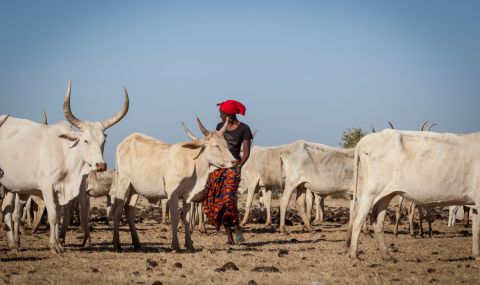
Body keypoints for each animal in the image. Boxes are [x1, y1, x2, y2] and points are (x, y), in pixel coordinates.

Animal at [0, 80, 128, 253]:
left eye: (103, 141)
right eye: (85, 140)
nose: (101, 165)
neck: (65, 152)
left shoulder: (60, 190)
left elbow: (59, 216)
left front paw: (59, 244)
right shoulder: (46, 187)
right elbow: (53, 215)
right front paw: (54, 246)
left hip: (9, 187)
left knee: (7, 211)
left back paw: (13, 245)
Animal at [110, 117, 234, 251]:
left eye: (226, 144)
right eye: (216, 146)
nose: (234, 161)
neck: (193, 163)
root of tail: (124, 143)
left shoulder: (187, 196)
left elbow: (186, 219)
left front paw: (190, 245)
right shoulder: (172, 194)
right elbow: (174, 218)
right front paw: (175, 246)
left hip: (134, 189)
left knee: (129, 210)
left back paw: (137, 243)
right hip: (123, 183)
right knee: (117, 211)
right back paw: (117, 245)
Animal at [346, 129, 480, 260]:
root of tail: (364, 140)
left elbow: (476, 229)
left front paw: (476, 255)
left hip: (385, 194)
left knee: (377, 221)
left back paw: (387, 255)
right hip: (371, 191)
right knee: (358, 217)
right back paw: (354, 255)